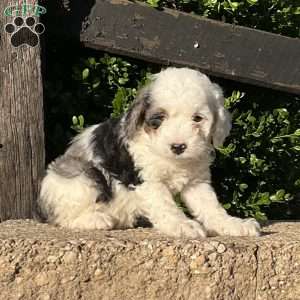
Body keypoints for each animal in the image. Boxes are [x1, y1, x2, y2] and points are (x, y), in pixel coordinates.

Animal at [38, 67, 260, 238]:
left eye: (197, 118)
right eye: (158, 119)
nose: (178, 146)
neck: (171, 159)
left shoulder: (197, 183)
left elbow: (211, 206)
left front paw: (234, 225)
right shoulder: (148, 181)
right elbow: (166, 205)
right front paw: (183, 225)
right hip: (80, 175)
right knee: (63, 216)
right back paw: (96, 219)